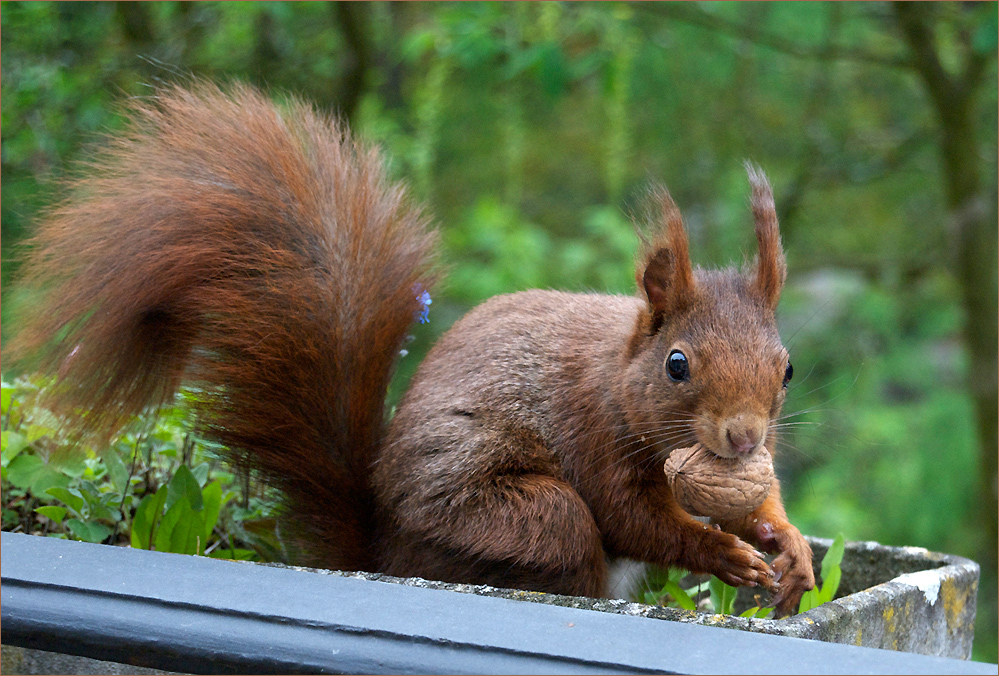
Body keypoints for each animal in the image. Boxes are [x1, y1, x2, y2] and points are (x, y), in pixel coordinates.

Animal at [11, 82, 816, 616]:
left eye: (786, 369)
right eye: (677, 365)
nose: (744, 438)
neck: (619, 376)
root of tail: (383, 558)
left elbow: (754, 504)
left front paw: (791, 549)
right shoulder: (595, 432)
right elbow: (634, 519)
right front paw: (724, 554)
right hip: (521, 521)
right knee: (573, 541)